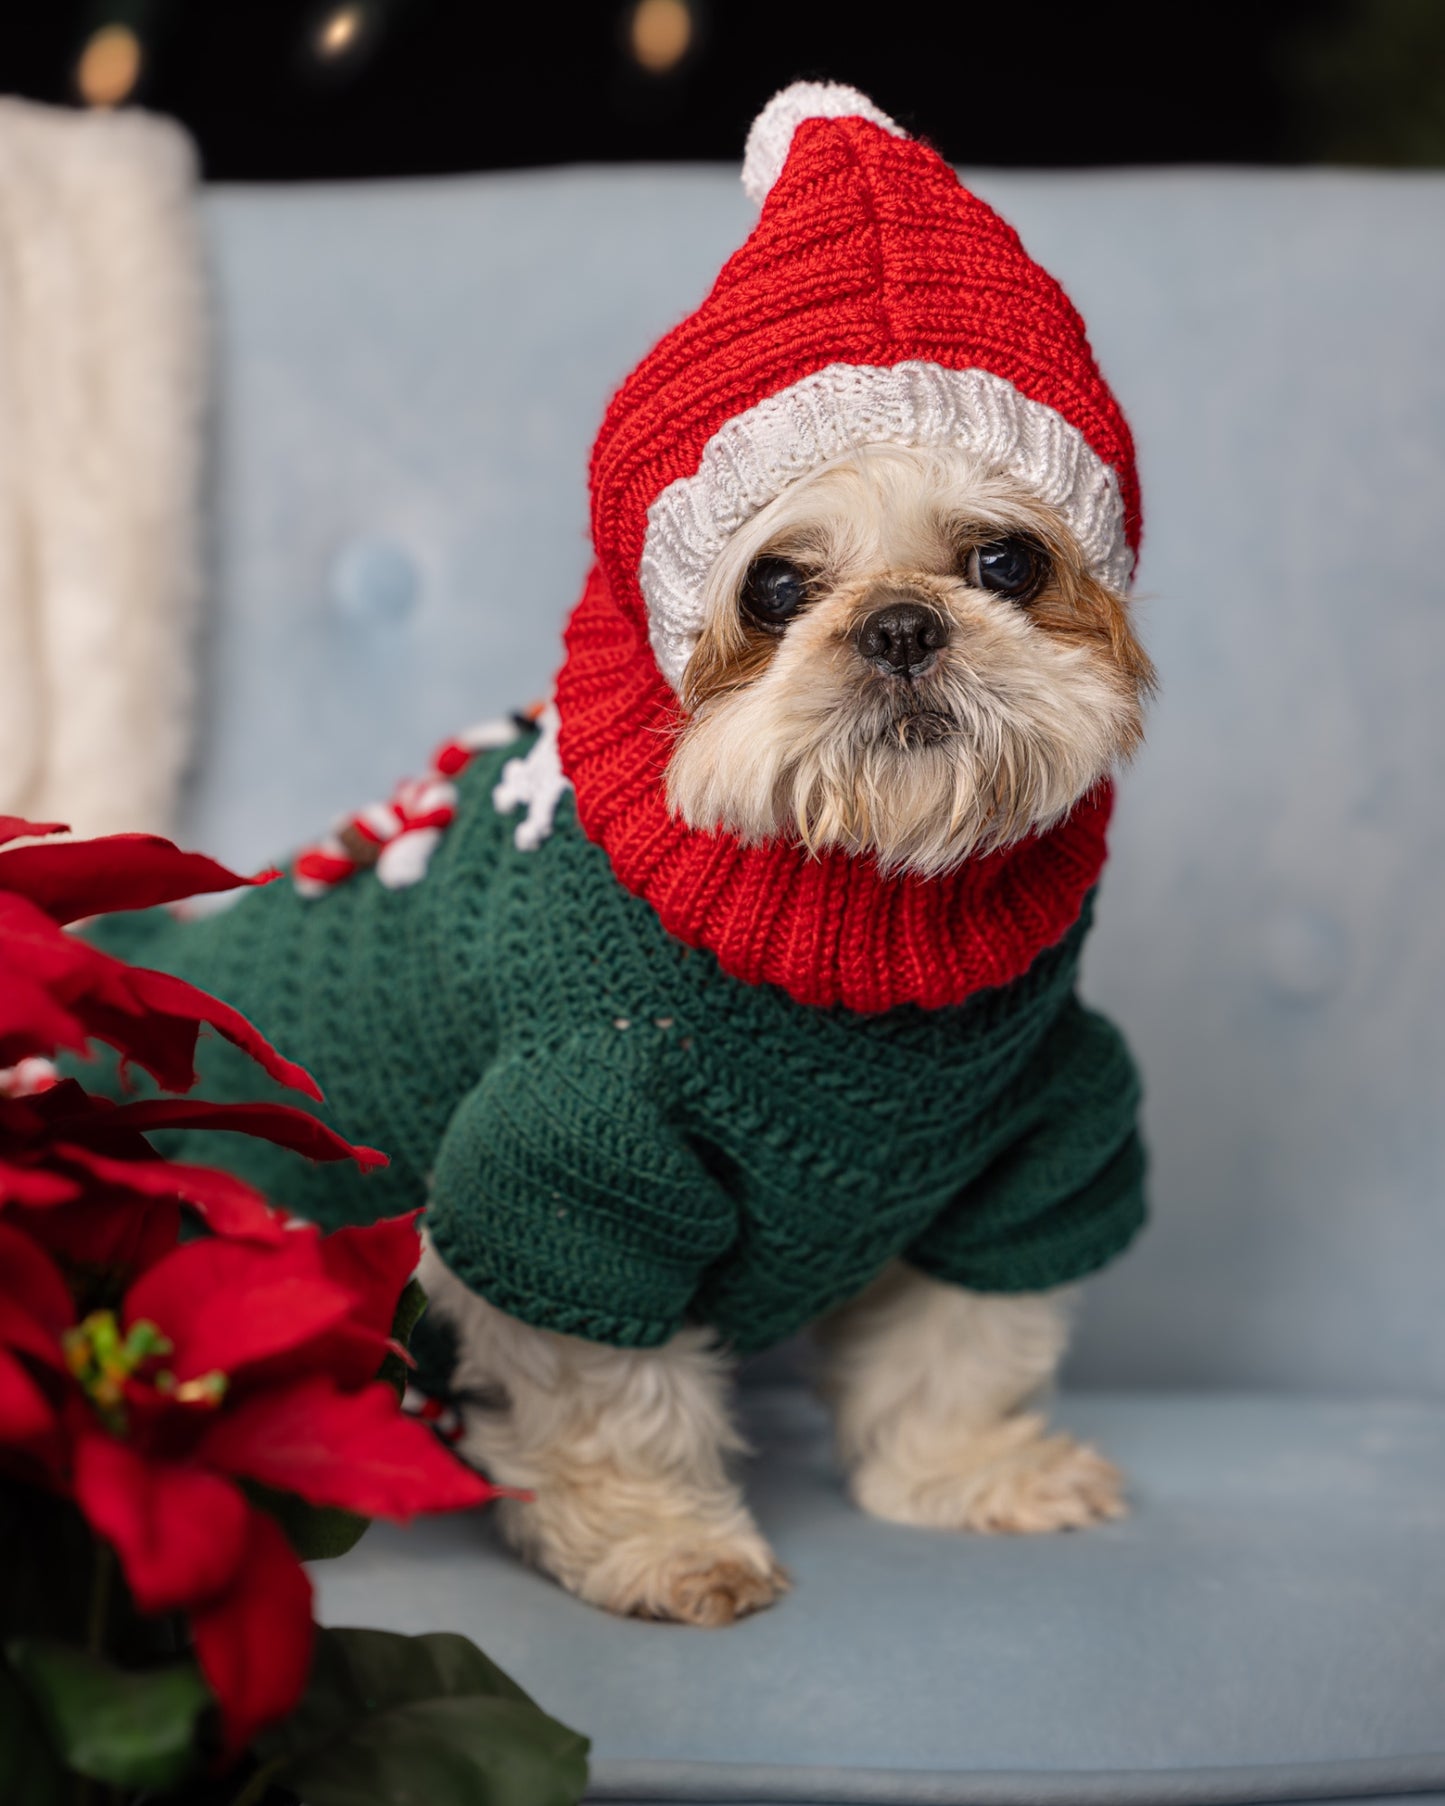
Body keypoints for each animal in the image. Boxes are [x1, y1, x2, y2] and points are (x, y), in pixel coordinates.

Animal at [90, 84, 1156, 1632]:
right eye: (775, 587)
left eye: (1005, 561)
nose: (900, 624)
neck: (859, 907)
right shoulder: (568, 1173)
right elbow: (607, 1390)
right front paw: (664, 1540)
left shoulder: (1037, 1140)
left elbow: (958, 1345)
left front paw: (967, 1469)